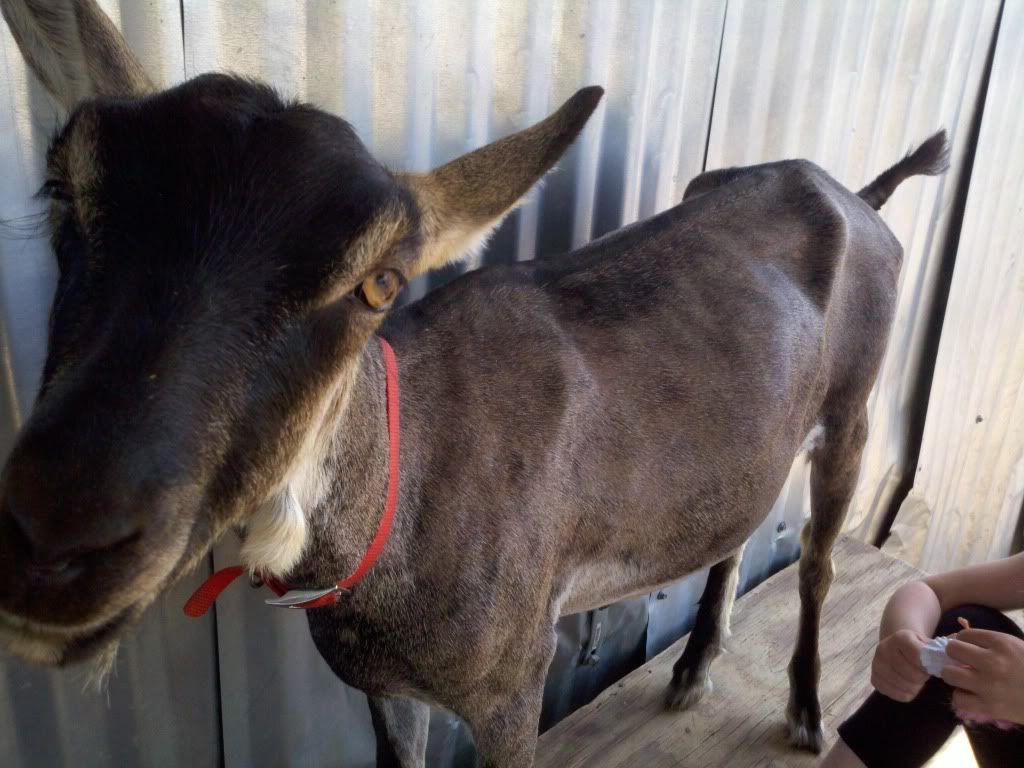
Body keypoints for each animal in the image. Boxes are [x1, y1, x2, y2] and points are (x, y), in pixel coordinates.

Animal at [0, 2, 949, 766]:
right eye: (61, 186)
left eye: (380, 282)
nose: (53, 544)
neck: (402, 500)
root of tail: (857, 194)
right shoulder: (385, 688)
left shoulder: (513, 682)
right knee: (741, 527)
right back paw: (691, 667)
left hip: (854, 408)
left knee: (819, 558)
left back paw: (805, 711)